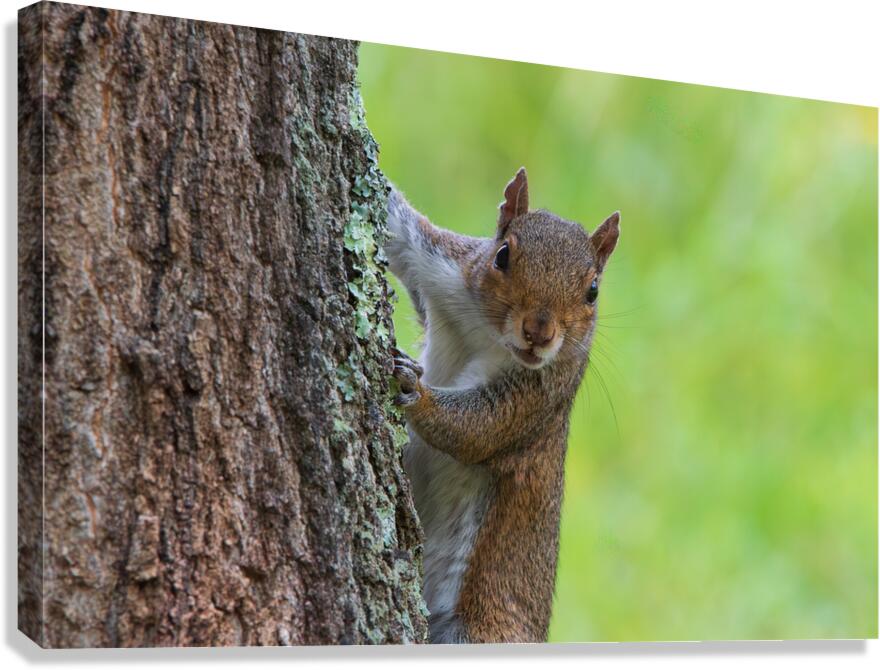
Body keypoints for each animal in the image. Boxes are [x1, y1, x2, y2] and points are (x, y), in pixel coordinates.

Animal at [385, 167, 620, 644]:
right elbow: (401, 229)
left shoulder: (540, 396)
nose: (539, 332)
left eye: (592, 291)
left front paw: (415, 391)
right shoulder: (443, 266)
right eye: (503, 255)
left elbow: (479, 428)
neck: (490, 334)